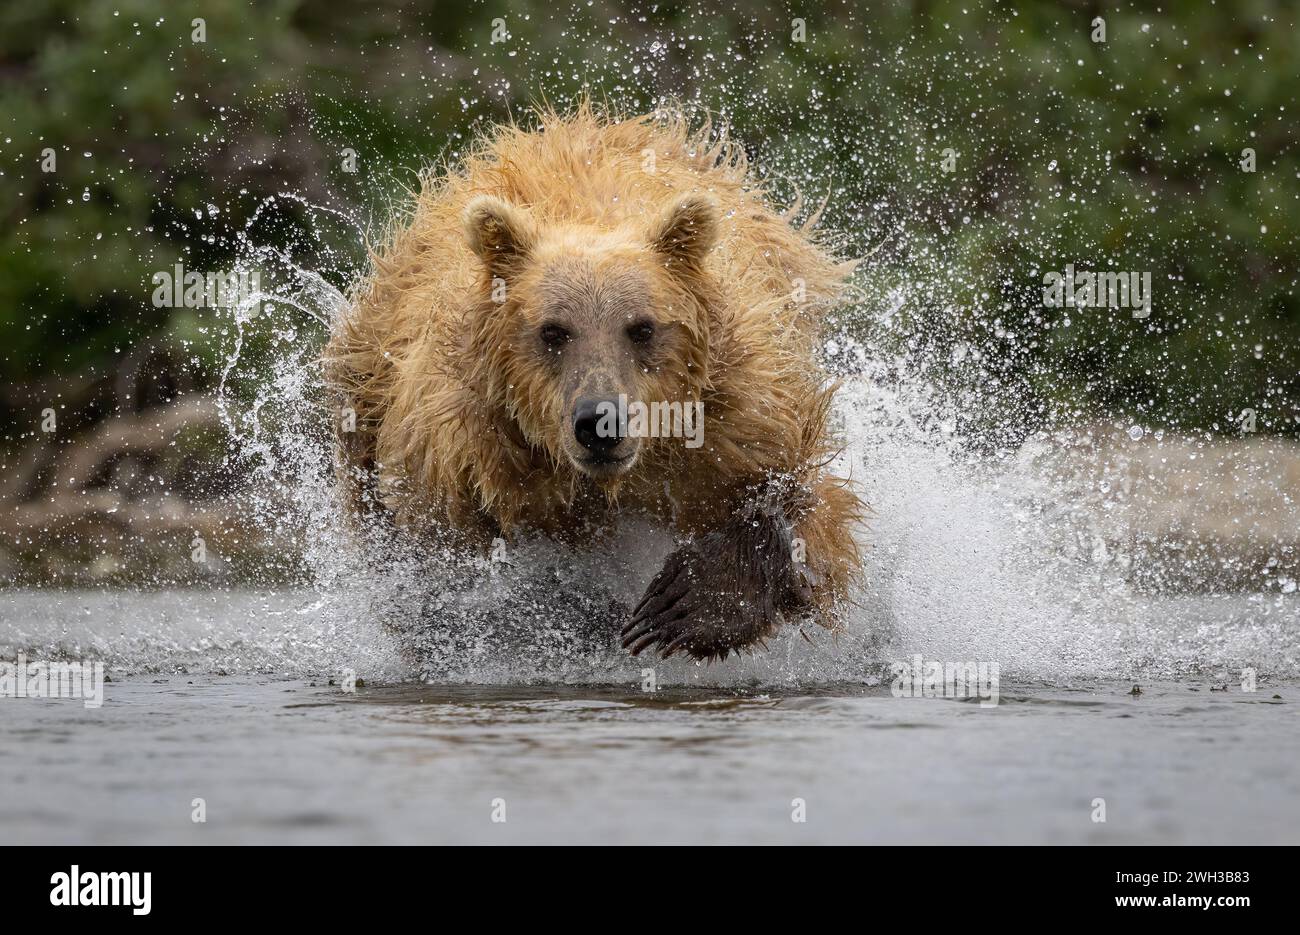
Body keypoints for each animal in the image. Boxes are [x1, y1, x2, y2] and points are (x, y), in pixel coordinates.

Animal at [327, 105, 863, 663]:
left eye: (642, 327)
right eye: (553, 331)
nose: (600, 423)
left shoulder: (735, 419)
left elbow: (808, 510)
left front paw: (683, 604)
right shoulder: (465, 459)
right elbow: (447, 585)